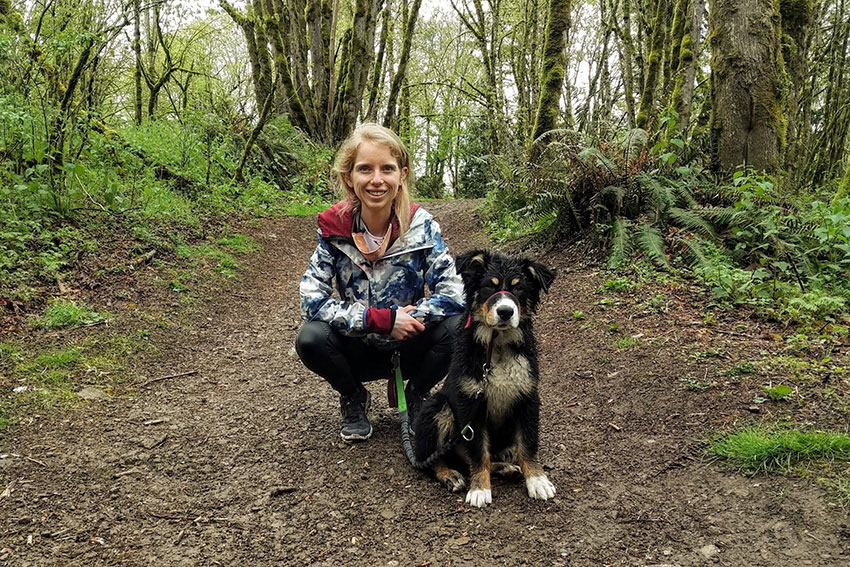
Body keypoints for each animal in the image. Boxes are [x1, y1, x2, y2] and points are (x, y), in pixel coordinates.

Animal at [412, 251, 556, 508]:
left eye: (519, 289)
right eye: (490, 286)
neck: (497, 347)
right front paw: (480, 489)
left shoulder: (527, 396)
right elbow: (479, 452)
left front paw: (537, 480)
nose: (506, 312)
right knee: (431, 460)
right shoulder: (471, 404)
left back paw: (506, 466)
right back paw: (450, 475)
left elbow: (528, 445)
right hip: (438, 407)